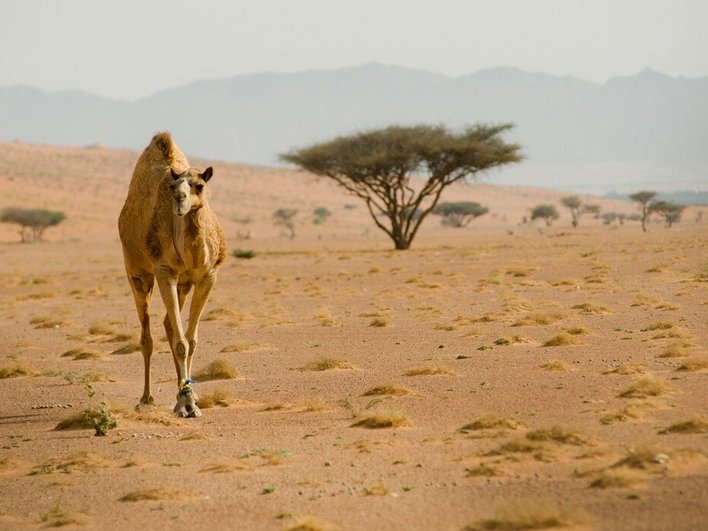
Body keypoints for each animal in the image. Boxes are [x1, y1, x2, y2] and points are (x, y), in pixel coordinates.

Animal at [117, 131, 225, 418]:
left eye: (199, 185)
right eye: (173, 188)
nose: (180, 200)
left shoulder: (207, 276)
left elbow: (191, 340)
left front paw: (190, 397)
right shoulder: (164, 271)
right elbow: (181, 343)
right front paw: (186, 404)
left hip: (184, 284)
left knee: (168, 324)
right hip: (137, 272)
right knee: (147, 336)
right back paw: (146, 397)